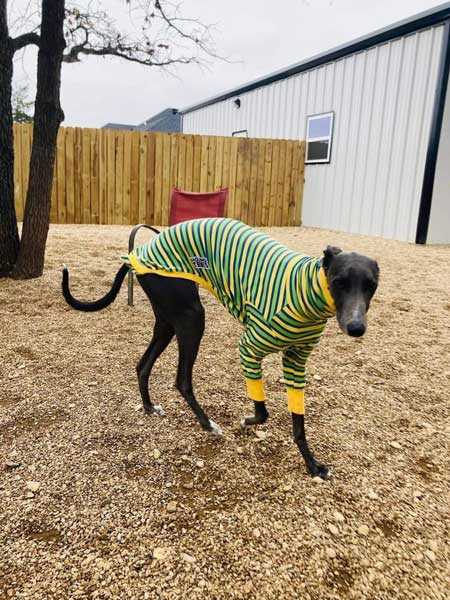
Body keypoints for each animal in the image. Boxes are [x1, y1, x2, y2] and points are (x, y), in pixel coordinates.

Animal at [62, 218, 379, 479]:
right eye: (338, 282)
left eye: (371, 285)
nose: (356, 327)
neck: (307, 289)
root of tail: (137, 254)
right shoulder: (249, 348)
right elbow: (263, 412)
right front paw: (247, 421)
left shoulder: (296, 363)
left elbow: (298, 422)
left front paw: (312, 464)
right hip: (191, 317)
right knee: (182, 380)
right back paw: (207, 424)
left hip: (167, 321)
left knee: (143, 366)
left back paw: (150, 407)